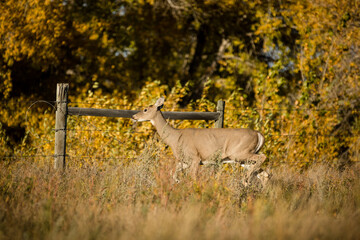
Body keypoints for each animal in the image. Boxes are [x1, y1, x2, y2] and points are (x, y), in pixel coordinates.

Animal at [132, 97, 268, 186]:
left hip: (240, 152)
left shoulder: (195, 157)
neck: (175, 138)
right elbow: (173, 173)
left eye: (145, 109)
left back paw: (245, 180)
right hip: (242, 159)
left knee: (263, 157)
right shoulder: (184, 161)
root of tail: (258, 134)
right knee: (264, 173)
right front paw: (178, 181)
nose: (133, 116)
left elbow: (193, 178)